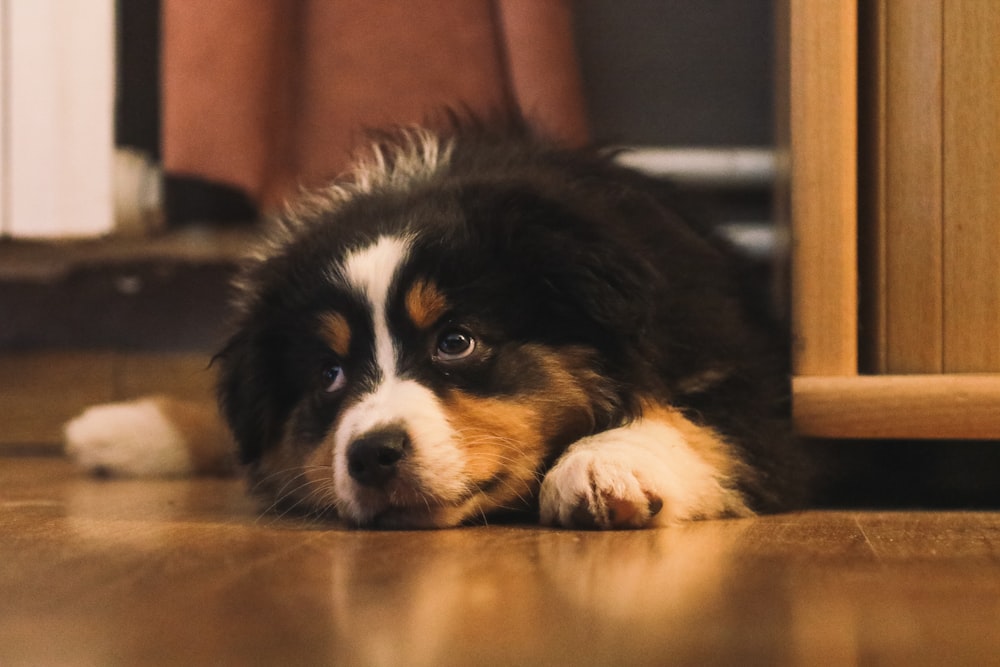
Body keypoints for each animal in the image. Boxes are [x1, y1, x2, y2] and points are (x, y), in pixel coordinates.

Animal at [66, 118, 804, 528]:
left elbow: (695, 421)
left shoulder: (753, 380)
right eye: (329, 374)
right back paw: (117, 429)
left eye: (456, 341)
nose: (371, 454)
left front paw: (603, 464)